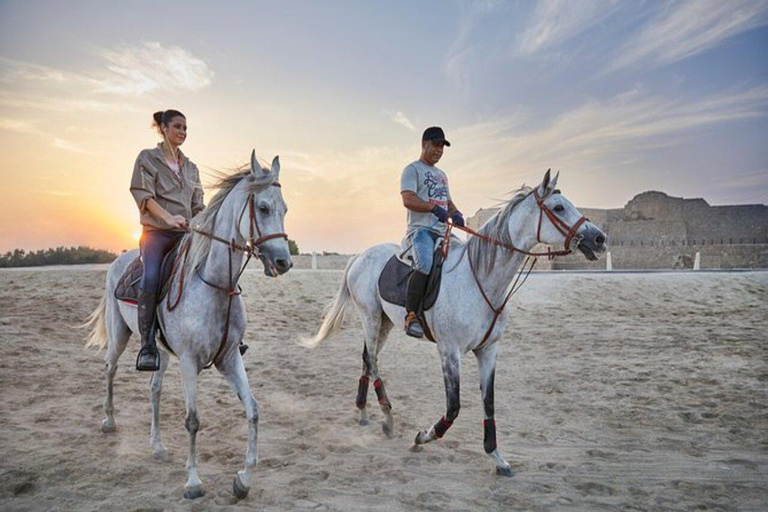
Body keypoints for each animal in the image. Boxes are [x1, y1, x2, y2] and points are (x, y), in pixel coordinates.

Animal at [82, 150, 290, 498]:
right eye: (263, 208)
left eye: (284, 209)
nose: (284, 262)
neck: (214, 285)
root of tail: (118, 260)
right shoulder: (190, 362)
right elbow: (193, 420)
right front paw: (193, 482)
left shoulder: (229, 358)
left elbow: (253, 409)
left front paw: (243, 479)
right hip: (120, 335)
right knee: (109, 367)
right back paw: (108, 422)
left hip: (160, 352)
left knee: (154, 389)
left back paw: (157, 446)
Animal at [306, 171, 608, 476]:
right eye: (558, 208)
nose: (599, 238)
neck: (480, 279)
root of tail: (360, 256)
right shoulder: (450, 352)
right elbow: (453, 408)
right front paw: (422, 438)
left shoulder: (488, 351)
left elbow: (489, 403)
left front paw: (497, 456)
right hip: (369, 316)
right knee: (373, 362)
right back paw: (387, 416)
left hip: (385, 322)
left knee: (367, 358)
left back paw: (364, 412)